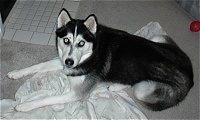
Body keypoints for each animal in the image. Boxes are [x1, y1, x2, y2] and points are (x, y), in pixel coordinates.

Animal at [7, 8, 193, 111]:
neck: (92, 52)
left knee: (135, 84)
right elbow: (39, 65)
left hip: (144, 90)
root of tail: (191, 76)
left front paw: (24, 106)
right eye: (66, 40)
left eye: (81, 43)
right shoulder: (63, 60)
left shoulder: (76, 93)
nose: (69, 62)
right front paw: (16, 73)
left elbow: (46, 99)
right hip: (157, 37)